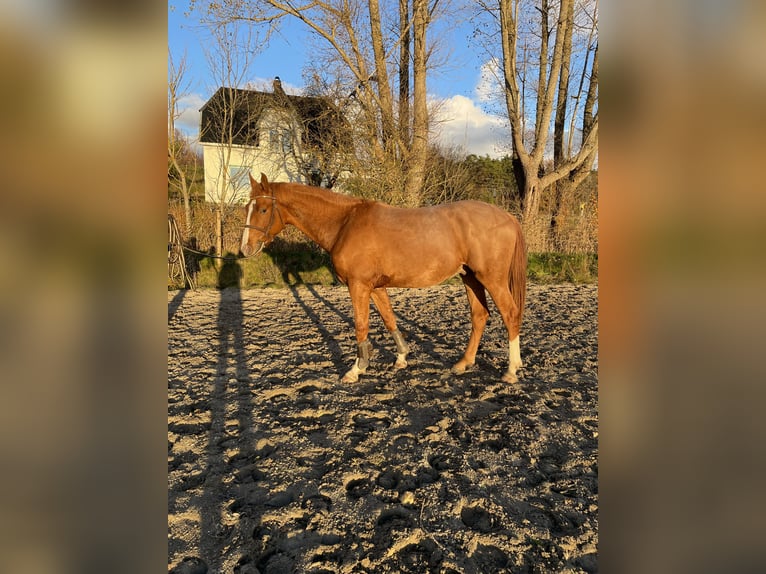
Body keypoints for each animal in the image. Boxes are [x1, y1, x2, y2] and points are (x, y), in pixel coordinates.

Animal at [240, 173, 527, 383]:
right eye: (247, 208)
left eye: (263, 209)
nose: (245, 248)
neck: (345, 223)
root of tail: (507, 217)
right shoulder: (376, 287)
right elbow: (389, 319)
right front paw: (401, 358)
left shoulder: (358, 286)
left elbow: (361, 325)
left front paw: (356, 369)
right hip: (471, 278)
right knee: (480, 316)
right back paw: (463, 363)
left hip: (491, 279)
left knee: (510, 314)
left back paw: (511, 370)